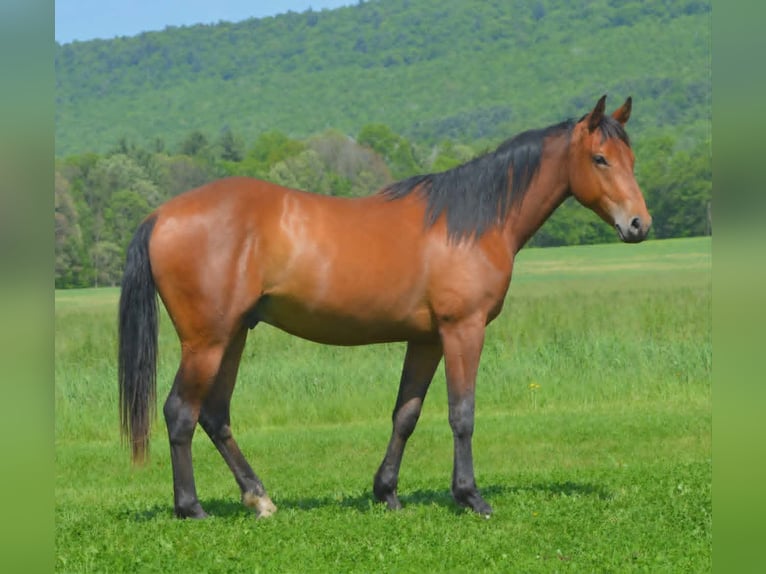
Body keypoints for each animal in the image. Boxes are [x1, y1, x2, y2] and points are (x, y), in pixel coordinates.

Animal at [118, 95, 651, 519]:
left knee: (214, 415)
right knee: (181, 412)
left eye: (631, 158)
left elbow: (406, 415)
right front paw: (470, 496)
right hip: (206, 341)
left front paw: (386, 493)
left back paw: (259, 498)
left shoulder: (426, 339)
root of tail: (160, 215)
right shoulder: (463, 329)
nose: (639, 224)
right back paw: (191, 508)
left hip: (233, 335)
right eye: (600, 158)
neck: (469, 223)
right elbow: (462, 413)